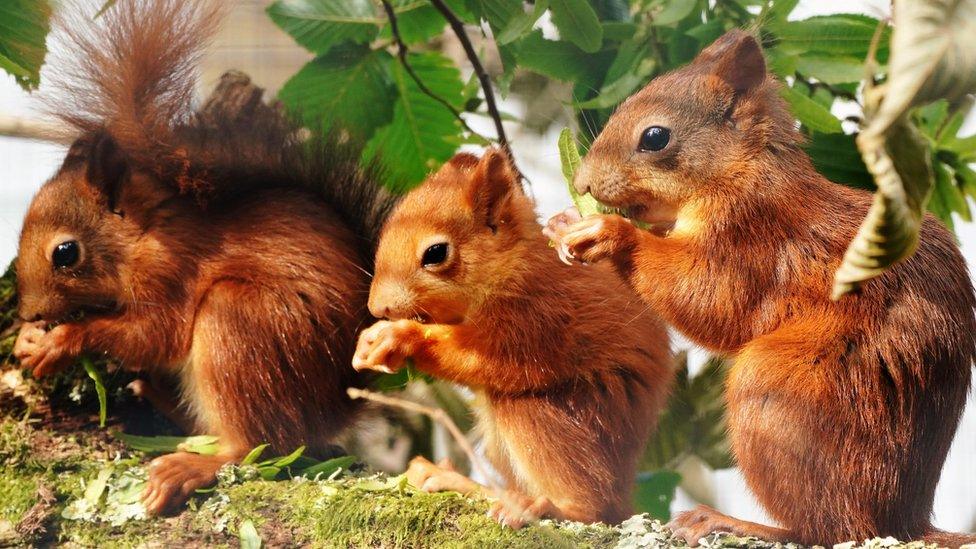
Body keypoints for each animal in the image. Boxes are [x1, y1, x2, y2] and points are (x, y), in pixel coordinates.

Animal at [11, 0, 392, 512]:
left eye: (66, 253)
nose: (29, 311)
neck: (144, 235)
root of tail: (335, 407)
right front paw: (29, 339)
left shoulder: (172, 272)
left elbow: (156, 336)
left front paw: (62, 341)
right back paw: (157, 398)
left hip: (239, 324)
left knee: (258, 445)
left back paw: (189, 466)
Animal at [352, 150, 680, 528]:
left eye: (435, 253)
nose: (378, 307)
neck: (511, 262)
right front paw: (371, 341)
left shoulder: (539, 316)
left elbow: (492, 358)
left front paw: (403, 337)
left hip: (554, 417)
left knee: (592, 505)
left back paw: (552, 506)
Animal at [544, 31, 976, 548]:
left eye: (655, 137)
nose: (583, 182)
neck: (742, 172)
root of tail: (904, 519)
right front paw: (562, 222)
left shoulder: (752, 241)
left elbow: (707, 299)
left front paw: (609, 233)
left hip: (779, 394)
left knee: (831, 527)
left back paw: (734, 522)